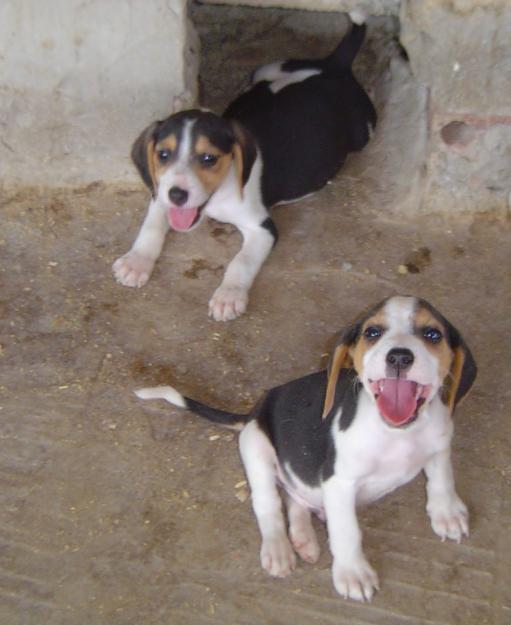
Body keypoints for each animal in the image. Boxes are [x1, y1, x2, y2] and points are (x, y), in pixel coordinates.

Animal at [113, 17, 376, 320]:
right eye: (163, 155)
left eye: (209, 158)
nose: (178, 195)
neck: (217, 197)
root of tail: (334, 66)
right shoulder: (160, 193)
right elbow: (151, 227)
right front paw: (136, 262)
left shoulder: (262, 228)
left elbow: (241, 261)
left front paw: (229, 296)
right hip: (268, 68)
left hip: (363, 132)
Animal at [134, 298, 478, 600]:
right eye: (373, 332)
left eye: (432, 334)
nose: (399, 357)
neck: (397, 433)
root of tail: (253, 411)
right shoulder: (339, 483)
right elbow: (347, 532)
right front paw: (353, 573)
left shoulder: (439, 445)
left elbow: (442, 476)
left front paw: (447, 512)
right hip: (256, 448)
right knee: (269, 505)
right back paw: (279, 549)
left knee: (295, 498)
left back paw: (304, 538)